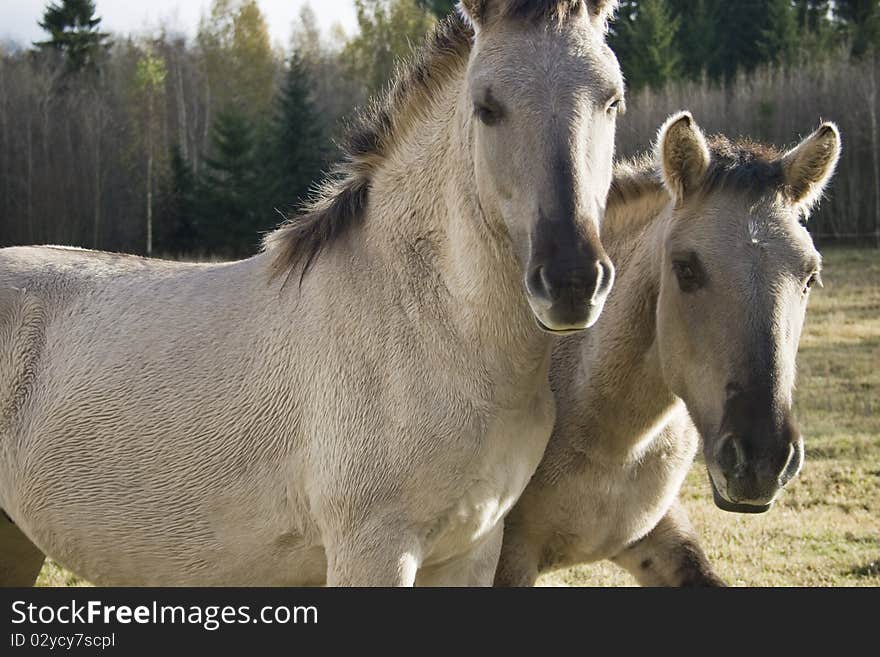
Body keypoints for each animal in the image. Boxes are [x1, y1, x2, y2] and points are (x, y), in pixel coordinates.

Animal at [0, 0, 624, 584]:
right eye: (486, 106)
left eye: (612, 100)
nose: (571, 281)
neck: (427, 324)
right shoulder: (373, 550)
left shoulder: (471, 551)